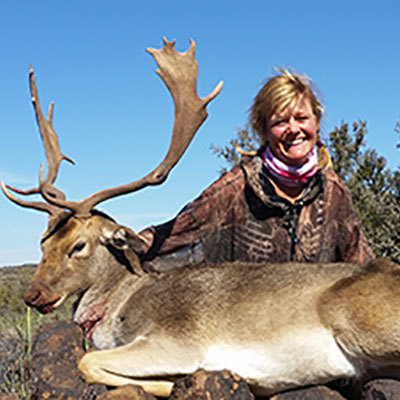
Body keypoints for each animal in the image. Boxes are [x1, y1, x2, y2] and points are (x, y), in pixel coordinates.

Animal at [2, 38, 400, 396]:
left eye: (78, 245)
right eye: (44, 243)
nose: (33, 295)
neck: (121, 305)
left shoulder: (176, 341)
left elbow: (87, 361)